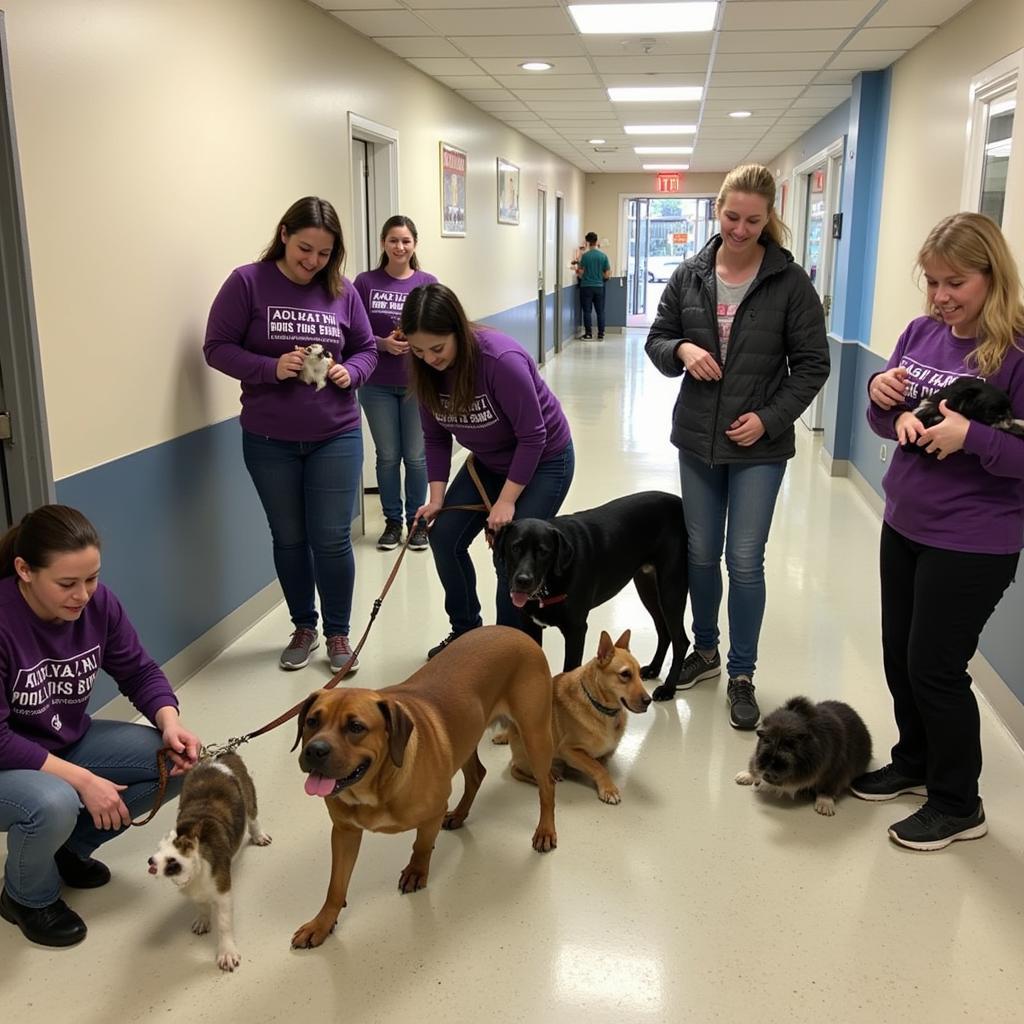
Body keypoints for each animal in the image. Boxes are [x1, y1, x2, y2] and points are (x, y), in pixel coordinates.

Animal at [148, 749, 270, 970]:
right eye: (157, 852)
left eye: (171, 861)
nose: (150, 862)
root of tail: (219, 756)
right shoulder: (196, 890)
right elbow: (201, 905)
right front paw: (203, 919)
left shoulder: (222, 892)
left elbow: (224, 923)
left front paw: (226, 952)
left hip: (249, 795)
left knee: (253, 817)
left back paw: (258, 835)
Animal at [292, 626, 557, 946]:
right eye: (311, 721)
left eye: (356, 727)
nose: (315, 751)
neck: (377, 786)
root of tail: (516, 631)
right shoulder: (344, 832)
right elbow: (335, 885)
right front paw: (322, 922)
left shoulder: (431, 813)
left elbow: (421, 845)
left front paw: (417, 871)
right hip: (465, 738)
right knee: (477, 775)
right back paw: (460, 814)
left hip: (535, 736)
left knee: (547, 786)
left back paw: (545, 831)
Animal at [493, 487, 692, 696]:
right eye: (515, 547)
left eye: (543, 552)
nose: (523, 580)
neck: (550, 582)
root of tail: (678, 502)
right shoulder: (530, 624)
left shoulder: (576, 630)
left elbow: (570, 668)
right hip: (648, 588)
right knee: (664, 632)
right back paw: (654, 668)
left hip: (671, 590)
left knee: (681, 641)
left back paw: (668, 688)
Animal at [505, 626, 651, 802]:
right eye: (625, 674)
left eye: (640, 674)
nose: (649, 700)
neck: (601, 708)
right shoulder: (568, 750)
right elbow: (598, 767)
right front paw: (608, 788)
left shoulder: (606, 753)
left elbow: (601, 764)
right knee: (521, 772)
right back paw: (550, 774)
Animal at [737, 696, 872, 815]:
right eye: (767, 743)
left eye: (790, 746)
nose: (768, 773)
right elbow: (753, 765)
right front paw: (745, 776)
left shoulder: (835, 770)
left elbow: (827, 789)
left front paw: (824, 806)